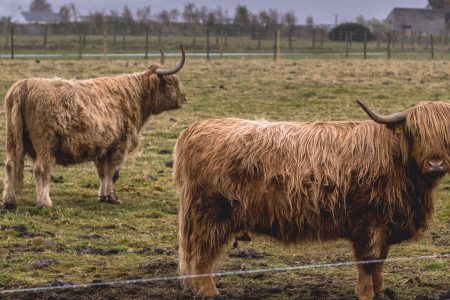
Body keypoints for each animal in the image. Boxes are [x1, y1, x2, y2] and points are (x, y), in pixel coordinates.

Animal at [1, 45, 186, 209]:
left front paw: (103, 196)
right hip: (45, 145)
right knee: (41, 169)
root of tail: (24, 84)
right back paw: (44, 203)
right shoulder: (120, 144)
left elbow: (103, 172)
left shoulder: (102, 146)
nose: (184, 98)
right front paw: (112, 197)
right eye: (170, 83)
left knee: (10, 166)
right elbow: (113, 172)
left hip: (11, 140)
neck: (134, 96)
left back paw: (9, 201)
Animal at [174, 101, 448, 300]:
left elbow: (380, 260)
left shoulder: (385, 223)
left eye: (446, 135)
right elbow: (367, 262)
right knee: (203, 253)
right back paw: (208, 291)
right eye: (415, 132)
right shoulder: (367, 223)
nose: (436, 164)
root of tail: (194, 128)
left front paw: (381, 291)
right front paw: (366, 293)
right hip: (211, 213)